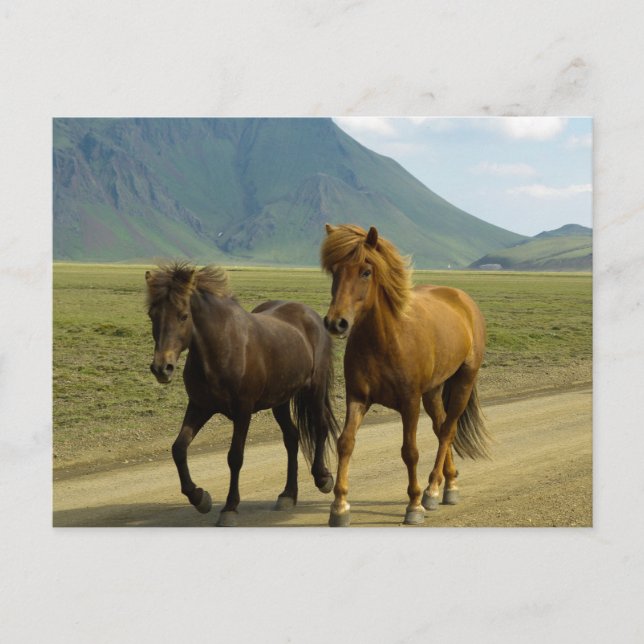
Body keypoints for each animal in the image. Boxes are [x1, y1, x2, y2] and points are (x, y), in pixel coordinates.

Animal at [145, 262, 339, 527]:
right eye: (152, 315)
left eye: (183, 315)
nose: (161, 368)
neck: (222, 349)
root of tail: (310, 315)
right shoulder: (199, 406)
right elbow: (179, 448)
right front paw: (199, 497)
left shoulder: (243, 411)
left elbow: (235, 457)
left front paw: (229, 508)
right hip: (280, 400)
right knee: (291, 437)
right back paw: (288, 494)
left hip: (314, 390)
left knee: (320, 427)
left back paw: (322, 478)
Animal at [321, 224, 491, 526]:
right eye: (335, 271)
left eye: (366, 271)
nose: (336, 322)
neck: (384, 339)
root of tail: (463, 299)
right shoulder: (357, 397)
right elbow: (345, 443)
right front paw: (340, 506)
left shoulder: (409, 402)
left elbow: (409, 451)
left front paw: (414, 504)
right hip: (433, 392)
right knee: (441, 427)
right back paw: (449, 484)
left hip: (463, 382)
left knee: (448, 430)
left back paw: (433, 490)